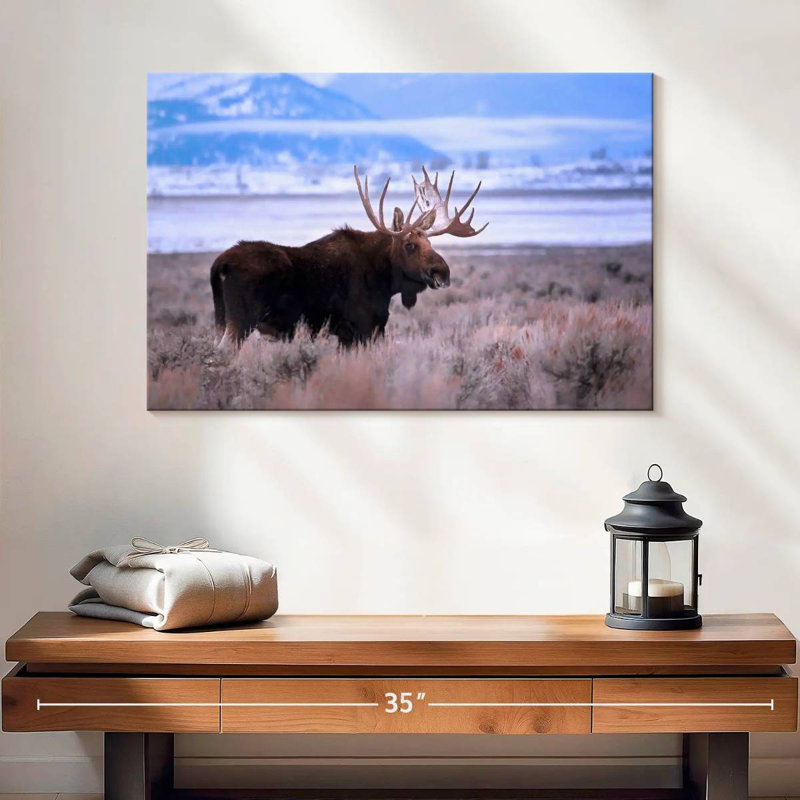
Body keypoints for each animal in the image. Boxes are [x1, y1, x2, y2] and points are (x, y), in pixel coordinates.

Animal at [210, 165, 488, 348]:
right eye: (410, 245)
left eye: (429, 241)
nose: (443, 272)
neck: (386, 281)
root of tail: (220, 264)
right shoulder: (362, 327)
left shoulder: (350, 333)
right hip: (241, 321)